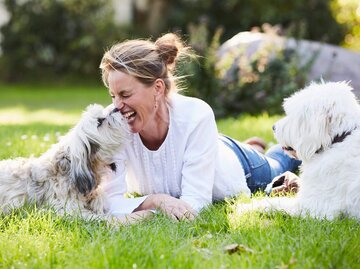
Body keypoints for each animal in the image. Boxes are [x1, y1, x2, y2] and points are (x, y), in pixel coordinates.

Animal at [238, 80, 360, 219]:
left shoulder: (314, 207)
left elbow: (275, 202)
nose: (273, 127)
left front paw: (244, 207)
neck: (339, 139)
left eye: (293, 115)